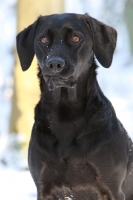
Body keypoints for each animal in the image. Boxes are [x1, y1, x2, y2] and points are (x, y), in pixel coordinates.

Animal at [16, 13, 133, 199]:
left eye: (76, 38)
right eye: (43, 39)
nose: (54, 64)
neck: (65, 114)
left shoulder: (113, 189)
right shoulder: (43, 186)